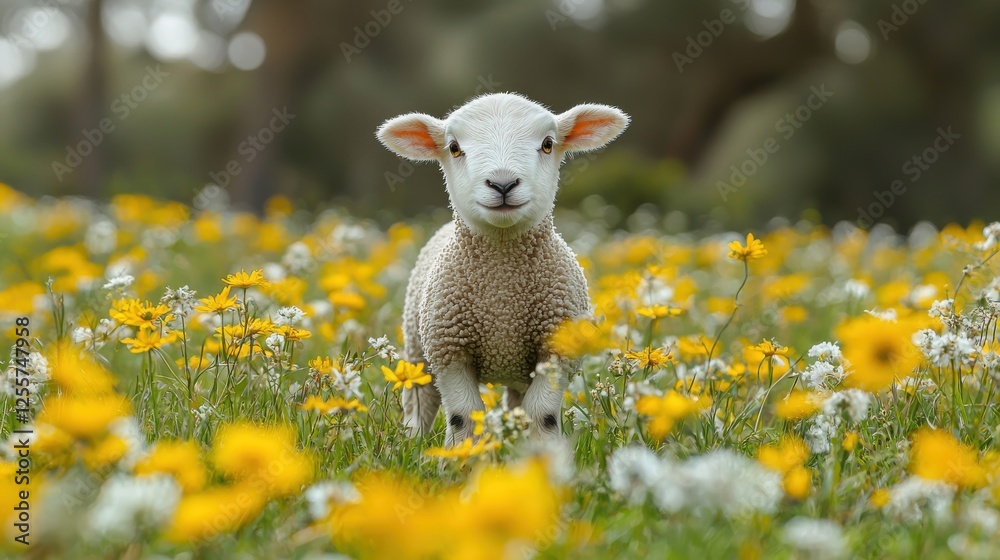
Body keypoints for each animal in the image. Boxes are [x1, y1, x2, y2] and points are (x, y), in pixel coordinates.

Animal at [376, 92, 629, 443]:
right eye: (453, 147)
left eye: (548, 144)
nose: (503, 184)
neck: (502, 292)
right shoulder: (449, 348)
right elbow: (464, 415)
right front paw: (461, 454)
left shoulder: (558, 347)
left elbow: (542, 413)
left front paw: (544, 453)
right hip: (418, 347)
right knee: (419, 399)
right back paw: (412, 440)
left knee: (517, 401)